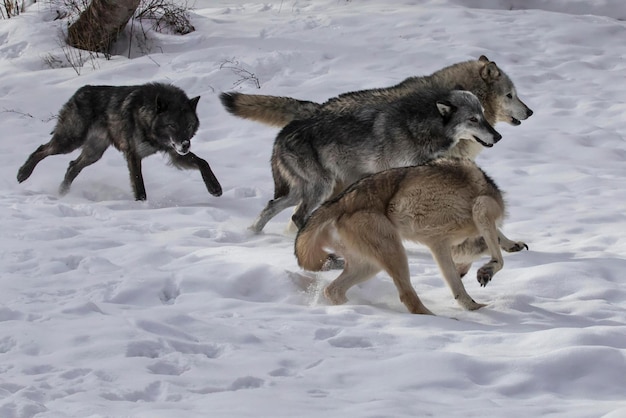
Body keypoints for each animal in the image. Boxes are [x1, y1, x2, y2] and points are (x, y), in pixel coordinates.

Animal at [15, 83, 222, 201]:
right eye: (171, 125)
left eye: (188, 125)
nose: (185, 144)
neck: (147, 119)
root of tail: (80, 91)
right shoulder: (134, 154)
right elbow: (139, 184)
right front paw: (142, 205)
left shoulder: (174, 152)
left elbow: (203, 162)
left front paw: (215, 188)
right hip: (70, 141)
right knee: (42, 149)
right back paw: (23, 174)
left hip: (94, 153)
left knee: (72, 166)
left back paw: (62, 193)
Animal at [249, 88, 498, 233]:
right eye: (473, 119)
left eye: (483, 116)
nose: (498, 136)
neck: (417, 127)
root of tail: (282, 133)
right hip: (321, 187)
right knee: (297, 215)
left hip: (305, 190)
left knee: (272, 206)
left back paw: (252, 233)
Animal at [294, 158, 516, 316]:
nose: (464, 272)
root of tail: (340, 201)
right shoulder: (482, 207)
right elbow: (498, 257)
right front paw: (487, 270)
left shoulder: (440, 245)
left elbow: (459, 285)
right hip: (395, 253)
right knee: (409, 298)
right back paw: (440, 320)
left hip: (370, 265)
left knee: (332, 290)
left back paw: (358, 309)